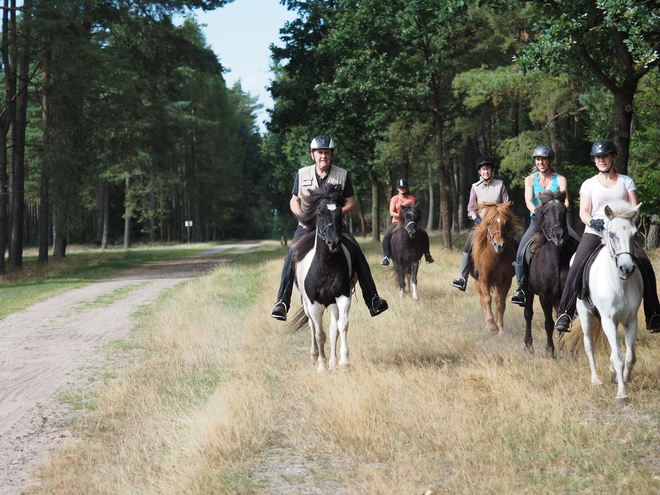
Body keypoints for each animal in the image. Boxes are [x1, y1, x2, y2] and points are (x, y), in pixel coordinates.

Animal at [292, 183, 358, 372]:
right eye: (319, 213)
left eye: (340, 212)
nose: (333, 242)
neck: (326, 266)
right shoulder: (314, 303)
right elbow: (319, 334)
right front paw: (321, 366)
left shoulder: (343, 296)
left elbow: (342, 325)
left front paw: (343, 362)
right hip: (307, 304)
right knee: (313, 327)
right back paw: (315, 357)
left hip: (332, 303)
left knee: (333, 328)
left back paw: (333, 362)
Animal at [472, 202, 520, 338]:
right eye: (489, 223)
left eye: (505, 223)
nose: (499, 245)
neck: (495, 256)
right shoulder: (484, 279)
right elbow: (487, 299)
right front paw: (492, 326)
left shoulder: (505, 281)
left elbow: (500, 302)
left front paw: (500, 329)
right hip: (478, 282)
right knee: (483, 299)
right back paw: (488, 325)